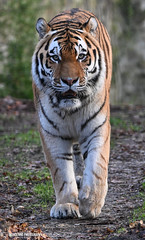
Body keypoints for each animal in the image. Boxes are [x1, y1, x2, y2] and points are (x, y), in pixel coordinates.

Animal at [31, 7, 112, 218]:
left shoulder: (98, 128)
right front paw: (66, 205)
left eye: (81, 56)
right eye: (55, 57)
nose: (69, 81)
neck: (71, 110)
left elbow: (97, 165)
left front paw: (91, 203)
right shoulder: (51, 133)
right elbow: (61, 173)